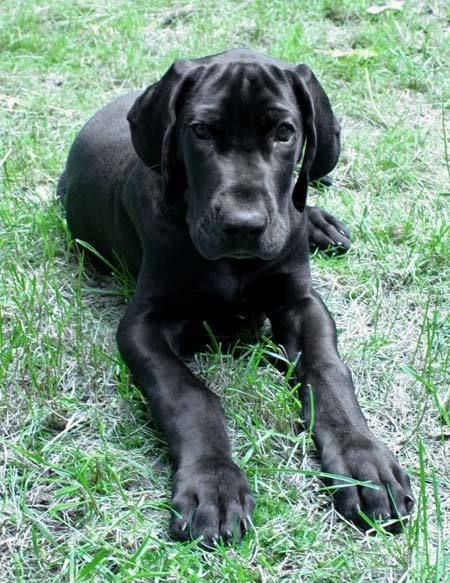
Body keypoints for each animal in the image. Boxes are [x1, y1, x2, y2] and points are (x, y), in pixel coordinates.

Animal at [59, 48, 414, 544]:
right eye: (201, 131)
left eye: (284, 132)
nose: (243, 226)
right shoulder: (143, 324)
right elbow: (190, 394)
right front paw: (213, 483)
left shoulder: (300, 302)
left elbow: (328, 371)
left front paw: (364, 462)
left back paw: (319, 223)